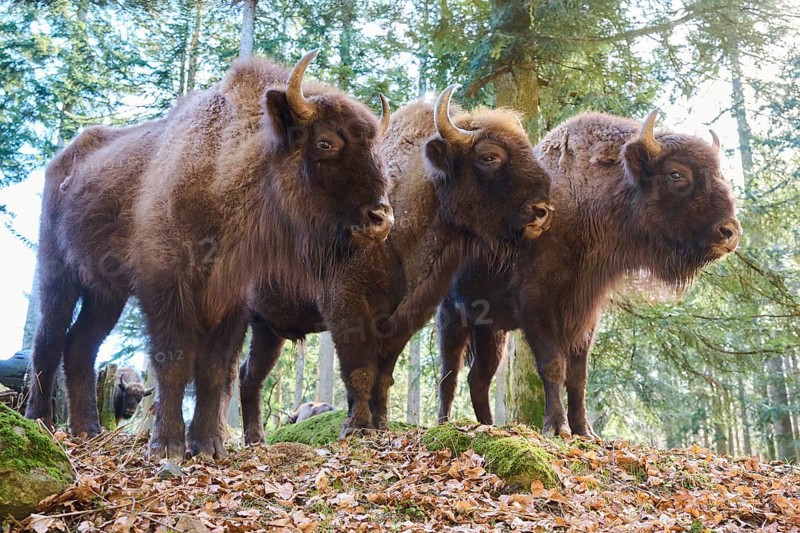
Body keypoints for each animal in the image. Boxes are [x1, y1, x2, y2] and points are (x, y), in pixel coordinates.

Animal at [437, 110, 741, 437]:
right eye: (676, 174)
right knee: (450, 375)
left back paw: (488, 426)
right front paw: (557, 427)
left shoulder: (586, 310)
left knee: (478, 378)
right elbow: (553, 366)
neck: (583, 201)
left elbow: (578, 374)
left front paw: (584, 430)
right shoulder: (537, 303)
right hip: (452, 318)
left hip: (492, 331)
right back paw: (443, 423)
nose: (730, 232)